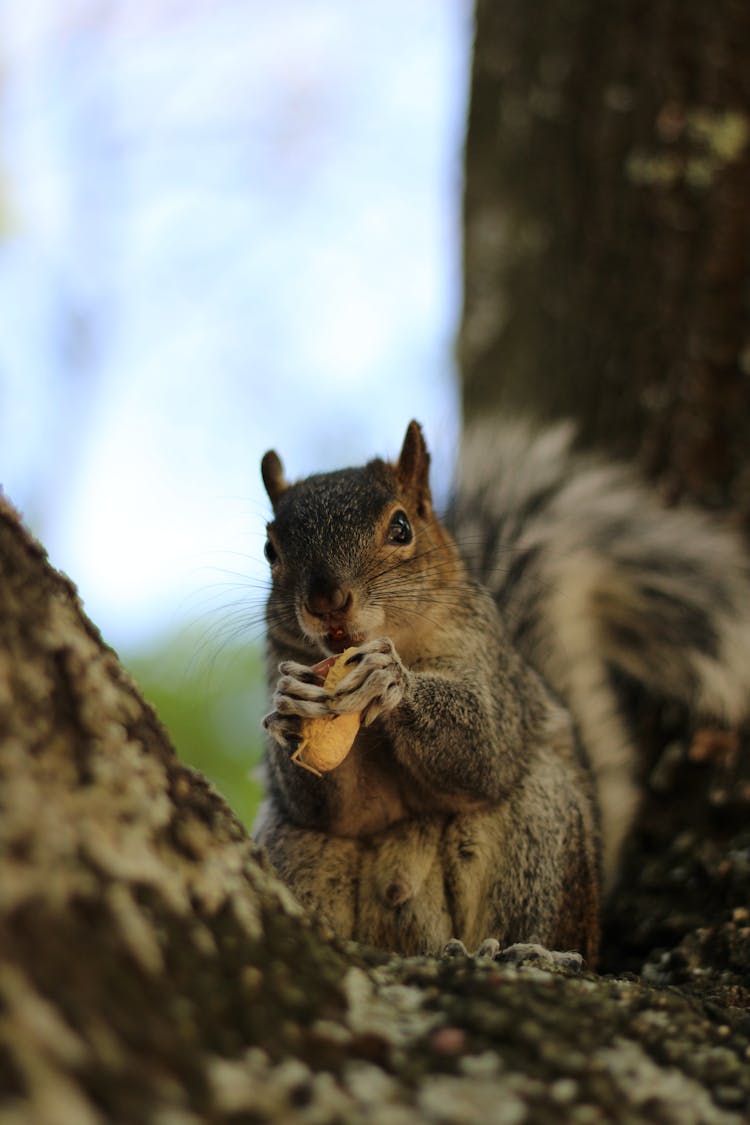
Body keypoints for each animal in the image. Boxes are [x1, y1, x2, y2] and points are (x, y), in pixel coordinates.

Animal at [251, 418, 750, 963]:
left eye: (401, 528)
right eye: (270, 550)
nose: (327, 601)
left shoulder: (497, 673)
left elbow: (483, 747)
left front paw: (390, 678)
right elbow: (339, 810)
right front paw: (290, 709)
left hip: (542, 828)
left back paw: (525, 952)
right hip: (293, 846)